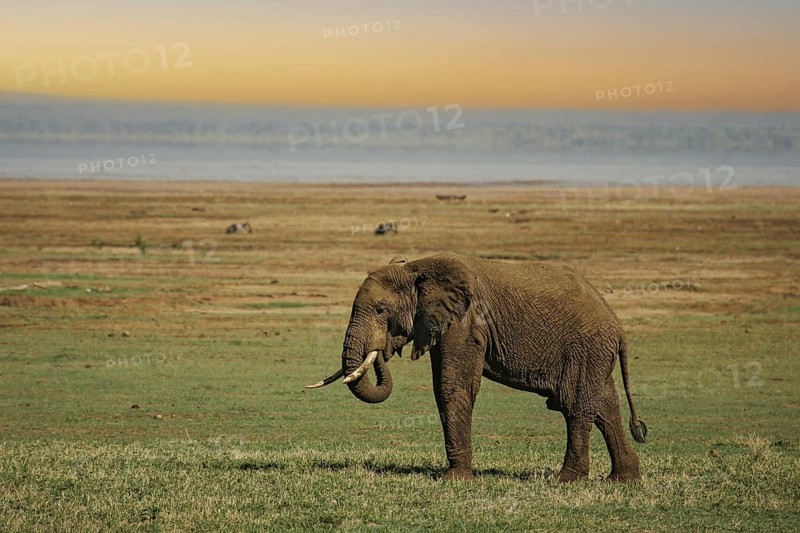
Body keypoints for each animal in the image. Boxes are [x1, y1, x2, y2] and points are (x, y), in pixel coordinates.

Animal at [307, 252, 648, 482]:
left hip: (585, 348)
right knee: (604, 405)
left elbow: (452, 386)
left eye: (381, 310)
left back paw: (565, 480)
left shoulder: (465, 322)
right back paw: (623, 480)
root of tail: (617, 324)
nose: (383, 350)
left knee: (576, 405)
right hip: (594, 354)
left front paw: (453, 479)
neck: (417, 267)